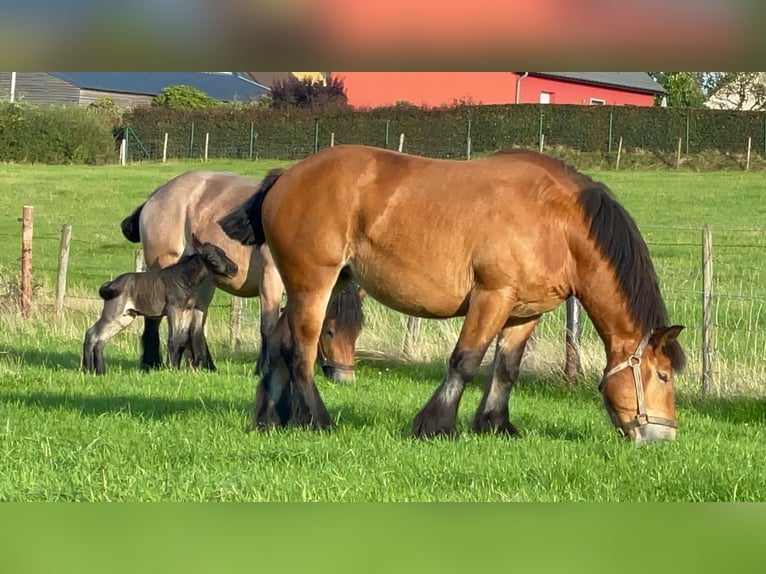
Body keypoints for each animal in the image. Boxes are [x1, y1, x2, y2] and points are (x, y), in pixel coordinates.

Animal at [121, 172, 366, 388]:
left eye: (356, 333)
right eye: (330, 332)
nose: (346, 379)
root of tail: (157, 194)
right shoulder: (270, 281)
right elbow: (268, 326)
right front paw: (263, 368)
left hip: (202, 280)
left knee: (196, 321)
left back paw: (202, 364)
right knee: (155, 319)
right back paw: (152, 363)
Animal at [219, 145, 688, 446]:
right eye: (663, 376)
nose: (662, 436)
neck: (557, 220)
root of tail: (286, 176)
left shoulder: (524, 313)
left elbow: (506, 370)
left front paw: (496, 425)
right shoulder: (492, 297)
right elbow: (465, 361)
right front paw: (436, 425)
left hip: (314, 287)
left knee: (279, 343)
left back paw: (271, 418)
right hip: (313, 285)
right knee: (300, 350)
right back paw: (317, 420)